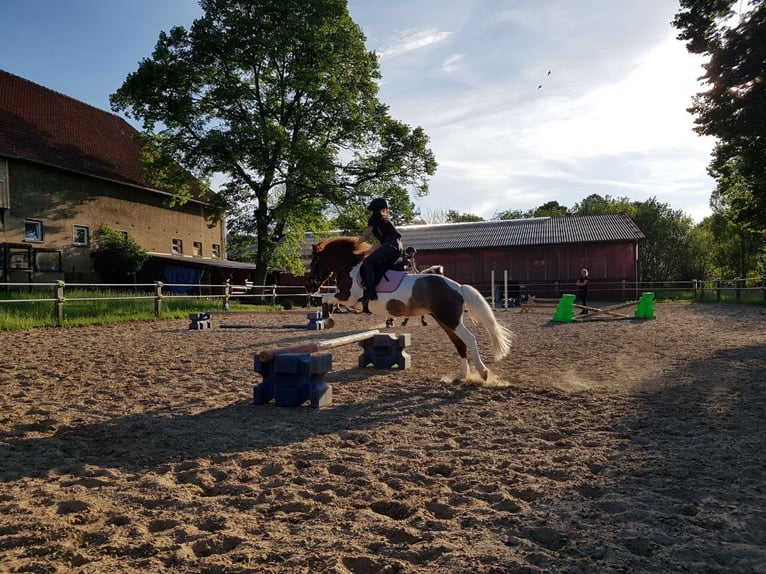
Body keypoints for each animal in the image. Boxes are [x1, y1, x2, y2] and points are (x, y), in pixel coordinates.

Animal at [306, 238, 516, 382]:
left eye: (313, 263)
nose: (309, 286)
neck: (350, 266)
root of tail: (457, 286)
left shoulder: (349, 297)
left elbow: (326, 298)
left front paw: (328, 319)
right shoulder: (347, 298)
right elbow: (327, 298)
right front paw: (327, 318)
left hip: (451, 320)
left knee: (470, 340)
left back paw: (483, 372)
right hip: (445, 321)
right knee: (460, 344)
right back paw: (461, 376)